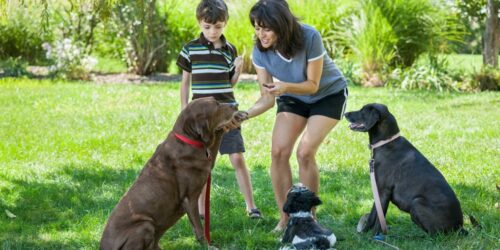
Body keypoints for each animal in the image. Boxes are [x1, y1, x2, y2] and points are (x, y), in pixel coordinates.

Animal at [100, 96, 244, 249]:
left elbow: (217, 135)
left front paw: (239, 116)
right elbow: (198, 228)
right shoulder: (190, 198)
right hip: (145, 225)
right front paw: (207, 246)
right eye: (216, 105)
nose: (235, 104)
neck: (188, 139)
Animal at [344, 103, 464, 234]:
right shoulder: (378, 191)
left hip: (417, 203)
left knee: (435, 234)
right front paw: (364, 234)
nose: (345, 113)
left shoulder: (384, 191)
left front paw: (376, 236)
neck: (386, 143)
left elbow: (379, 220)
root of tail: (460, 228)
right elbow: (372, 215)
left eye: (363, 110)